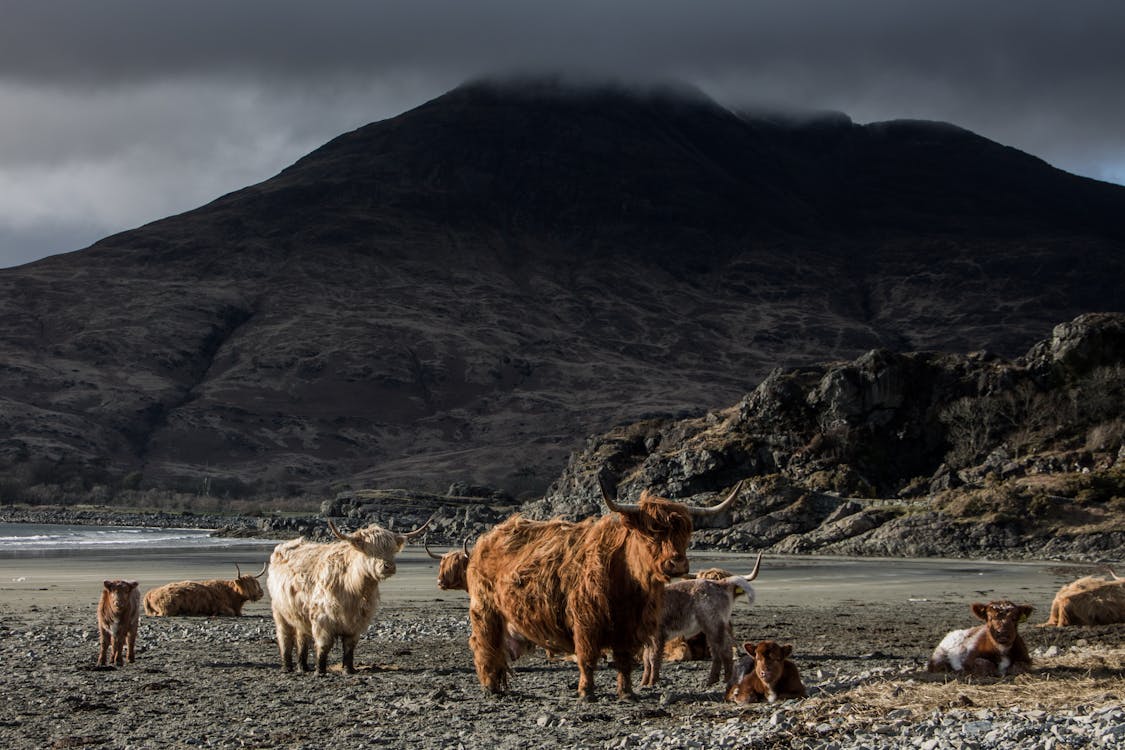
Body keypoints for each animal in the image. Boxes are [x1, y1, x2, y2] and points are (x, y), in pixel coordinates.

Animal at [468, 479, 742, 701]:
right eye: (651, 533)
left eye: (685, 533)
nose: (677, 563)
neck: (627, 583)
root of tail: (487, 538)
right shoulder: (586, 621)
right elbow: (587, 658)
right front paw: (586, 692)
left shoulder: (630, 626)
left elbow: (624, 661)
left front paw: (627, 692)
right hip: (486, 610)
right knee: (485, 644)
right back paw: (491, 687)